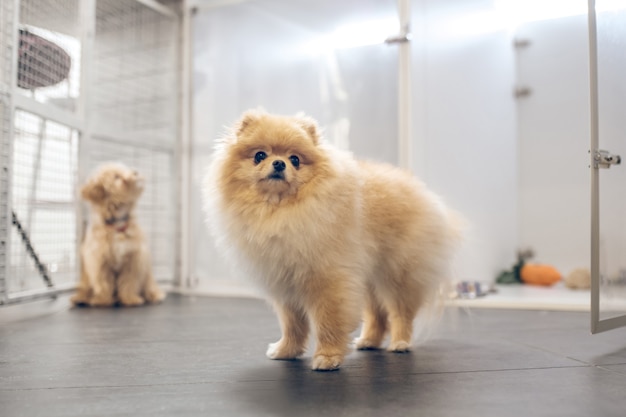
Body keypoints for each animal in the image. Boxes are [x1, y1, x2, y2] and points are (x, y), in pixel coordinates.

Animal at [70, 162, 166, 306]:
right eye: (117, 177)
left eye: (124, 169)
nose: (135, 172)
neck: (118, 225)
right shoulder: (99, 260)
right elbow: (103, 282)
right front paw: (102, 299)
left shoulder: (134, 259)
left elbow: (129, 281)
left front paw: (130, 298)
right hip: (86, 278)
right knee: (85, 288)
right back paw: (80, 298)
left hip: (147, 274)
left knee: (149, 286)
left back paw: (153, 295)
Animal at [202, 109, 460, 368]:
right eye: (260, 155)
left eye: (295, 159)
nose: (279, 163)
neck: (279, 211)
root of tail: (424, 193)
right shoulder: (286, 283)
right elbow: (292, 324)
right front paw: (287, 350)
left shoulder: (327, 278)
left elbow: (328, 320)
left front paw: (327, 357)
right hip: (369, 278)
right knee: (377, 314)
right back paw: (369, 341)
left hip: (398, 274)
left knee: (400, 312)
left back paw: (400, 342)